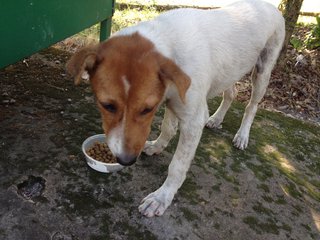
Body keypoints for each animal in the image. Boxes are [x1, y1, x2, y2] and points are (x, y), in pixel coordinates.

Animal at [66, 0, 284, 218]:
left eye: (147, 109)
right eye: (107, 105)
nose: (126, 160)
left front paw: (162, 197)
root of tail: (267, 5)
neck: (169, 45)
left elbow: (177, 165)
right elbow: (168, 128)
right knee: (232, 92)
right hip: (229, 72)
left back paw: (242, 135)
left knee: (252, 106)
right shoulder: (171, 100)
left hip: (263, 71)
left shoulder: (192, 119)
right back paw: (216, 119)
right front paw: (157, 146)